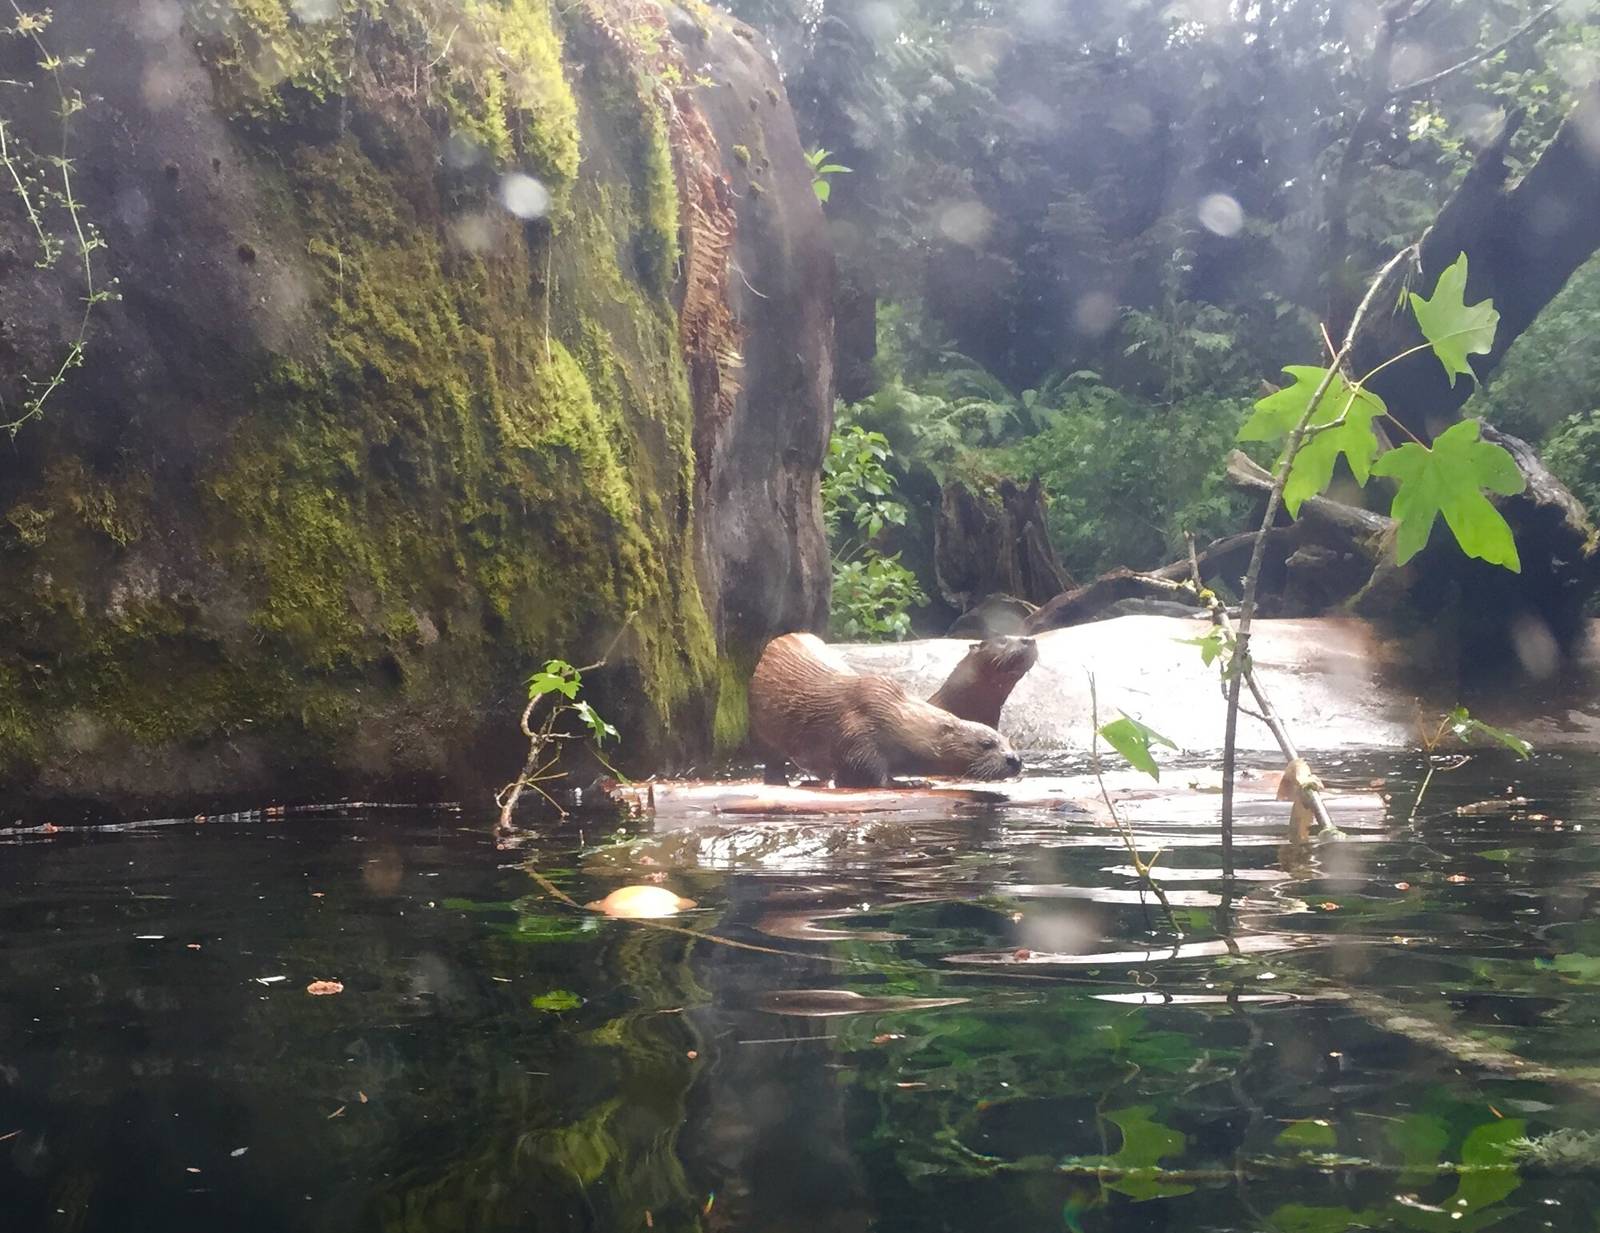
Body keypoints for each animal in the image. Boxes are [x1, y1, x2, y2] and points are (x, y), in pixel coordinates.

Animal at [749, 633, 1023, 788]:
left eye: (1010, 743)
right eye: (986, 744)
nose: (1015, 760)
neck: (890, 716)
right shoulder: (858, 737)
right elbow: (869, 777)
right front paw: (911, 782)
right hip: (763, 731)